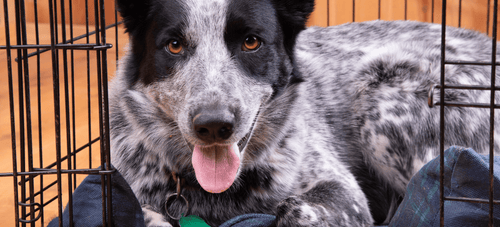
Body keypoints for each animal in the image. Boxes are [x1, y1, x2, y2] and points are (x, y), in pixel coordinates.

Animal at [109, 0, 500, 226]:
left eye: (251, 42)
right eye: (174, 45)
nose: (214, 125)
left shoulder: (346, 195)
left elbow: (293, 209)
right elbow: (142, 214)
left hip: (383, 96)